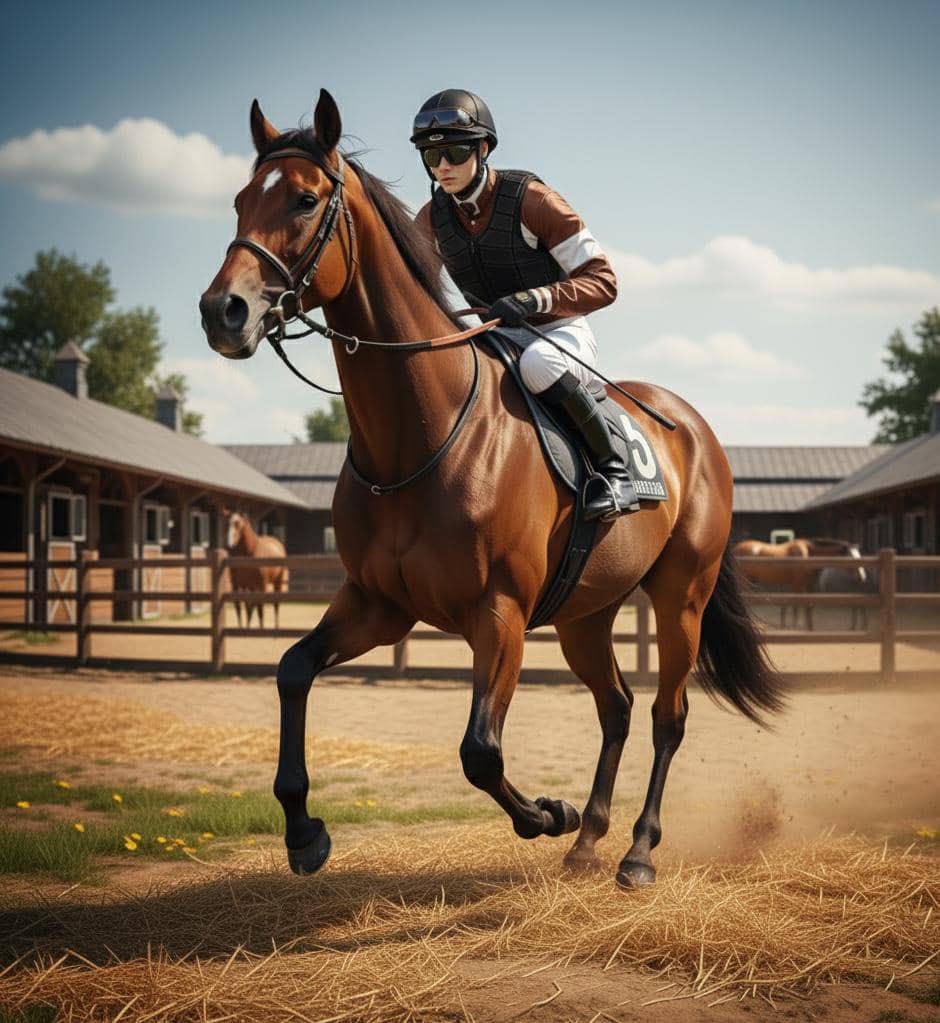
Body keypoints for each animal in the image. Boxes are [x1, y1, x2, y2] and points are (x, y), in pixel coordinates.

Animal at [200, 90, 784, 889]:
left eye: (304, 198)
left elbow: (481, 750)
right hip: (585, 613)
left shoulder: (499, 613)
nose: (221, 311)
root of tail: (694, 427)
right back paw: (587, 840)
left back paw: (634, 850)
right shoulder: (380, 604)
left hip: (680, 596)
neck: (421, 437)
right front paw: (304, 832)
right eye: (236, 200)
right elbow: (292, 671)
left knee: (668, 715)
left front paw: (546, 812)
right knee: (616, 707)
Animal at [732, 537, 866, 630]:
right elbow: (797, 604)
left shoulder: (809, 586)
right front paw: (795, 625)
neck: (808, 554)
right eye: (851, 557)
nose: (862, 576)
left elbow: (809, 605)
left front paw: (810, 626)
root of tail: (736, 549)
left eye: (859, 555)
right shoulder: (798, 585)